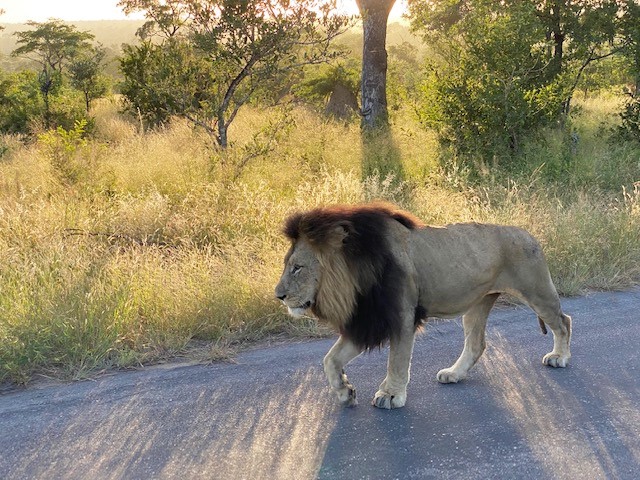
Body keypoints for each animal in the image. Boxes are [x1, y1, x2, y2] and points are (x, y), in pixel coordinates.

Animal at [274, 202, 568, 408]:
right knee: (476, 344)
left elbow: (397, 360)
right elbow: (330, 359)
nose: (279, 295)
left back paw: (559, 357)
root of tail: (529, 233)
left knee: (563, 322)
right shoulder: (367, 320)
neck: (357, 274)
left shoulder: (401, 315)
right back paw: (454, 373)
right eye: (288, 265)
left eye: (297, 268)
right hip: (477, 304)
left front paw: (391, 395)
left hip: (537, 292)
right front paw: (345, 392)